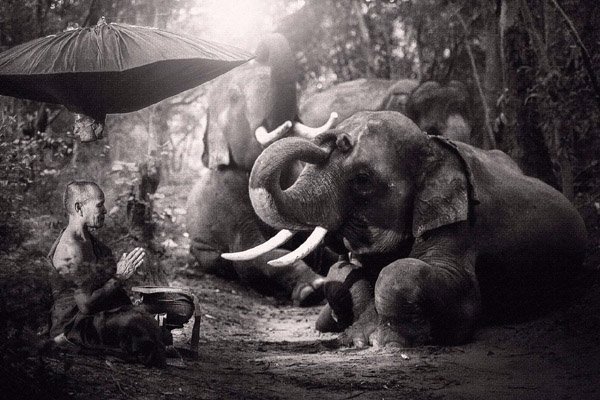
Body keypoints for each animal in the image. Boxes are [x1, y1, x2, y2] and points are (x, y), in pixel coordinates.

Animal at [188, 32, 338, 304]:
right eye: (234, 97)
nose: (259, 50)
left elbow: (319, 249)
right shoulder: (228, 206)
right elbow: (252, 258)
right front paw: (313, 289)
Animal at [227, 110, 588, 346]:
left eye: (362, 180)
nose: (334, 136)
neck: (433, 147)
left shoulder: (460, 225)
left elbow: (411, 277)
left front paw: (394, 342)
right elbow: (343, 273)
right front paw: (359, 339)